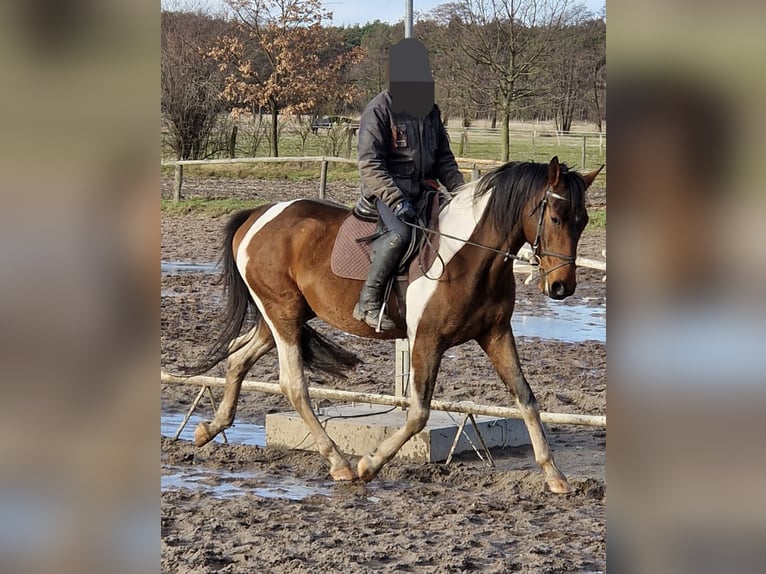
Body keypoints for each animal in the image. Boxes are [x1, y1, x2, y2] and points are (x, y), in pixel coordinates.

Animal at [189, 156, 604, 496]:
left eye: (582, 221)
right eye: (555, 218)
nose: (562, 287)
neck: (470, 255)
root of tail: (257, 215)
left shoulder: (496, 335)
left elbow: (526, 398)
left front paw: (554, 475)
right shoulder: (426, 340)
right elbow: (418, 412)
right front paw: (368, 465)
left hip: (282, 316)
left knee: (238, 359)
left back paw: (209, 429)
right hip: (283, 316)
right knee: (293, 385)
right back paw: (339, 463)